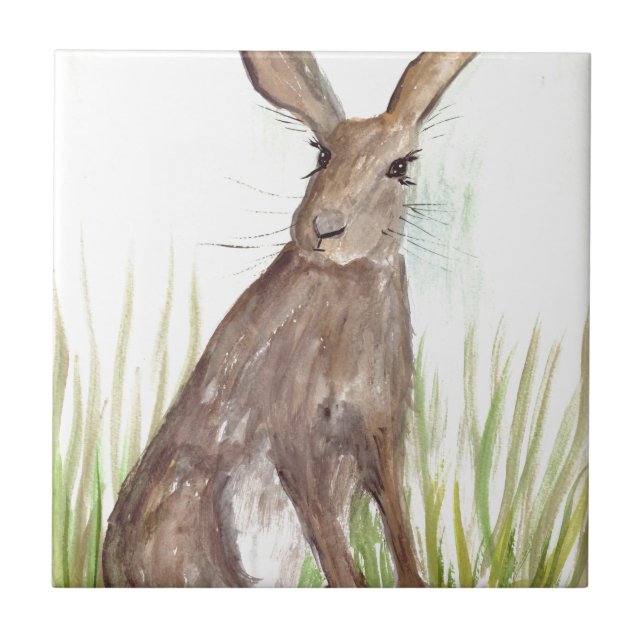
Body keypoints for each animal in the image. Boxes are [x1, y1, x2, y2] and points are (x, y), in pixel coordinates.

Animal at [102, 50, 475, 587]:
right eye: (321, 156)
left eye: (400, 166)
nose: (325, 228)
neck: (345, 280)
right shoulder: (296, 441)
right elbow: (334, 546)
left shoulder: (381, 434)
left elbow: (397, 526)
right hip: (192, 511)